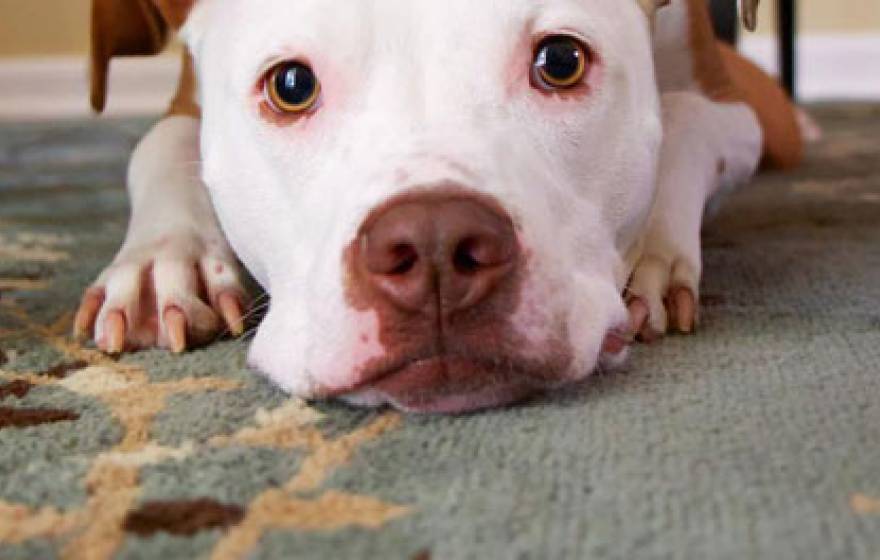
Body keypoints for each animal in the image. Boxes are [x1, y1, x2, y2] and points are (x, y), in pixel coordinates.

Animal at [75, 0, 804, 412]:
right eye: (291, 84)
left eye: (561, 60)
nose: (433, 247)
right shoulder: (184, 102)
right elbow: (160, 143)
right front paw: (163, 264)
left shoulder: (735, 105)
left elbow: (683, 115)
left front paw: (653, 254)